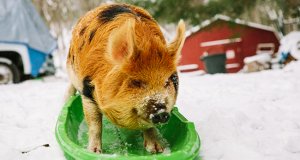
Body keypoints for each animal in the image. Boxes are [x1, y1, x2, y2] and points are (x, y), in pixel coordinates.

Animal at [65, 3, 185, 154]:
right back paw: (65, 101)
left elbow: (149, 127)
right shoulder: (87, 90)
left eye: (167, 81)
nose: (161, 112)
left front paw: (156, 150)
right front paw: (94, 152)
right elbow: (94, 123)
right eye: (136, 82)